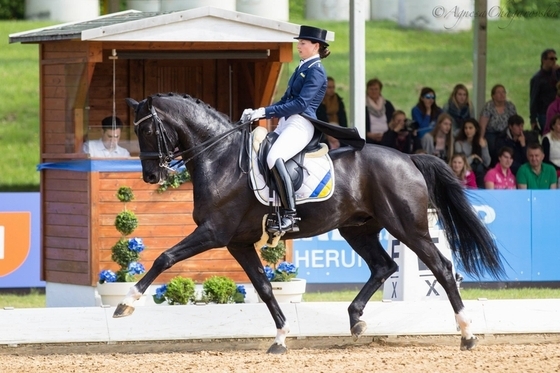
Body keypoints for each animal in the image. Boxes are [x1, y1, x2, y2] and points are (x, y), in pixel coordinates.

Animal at [118, 93, 504, 352]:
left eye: (148, 130)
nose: (151, 176)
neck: (220, 157)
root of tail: (408, 157)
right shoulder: (237, 241)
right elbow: (264, 287)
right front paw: (280, 338)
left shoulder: (214, 232)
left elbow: (165, 257)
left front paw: (127, 303)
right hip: (357, 229)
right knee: (384, 266)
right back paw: (356, 319)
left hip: (408, 227)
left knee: (441, 267)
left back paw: (467, 333)